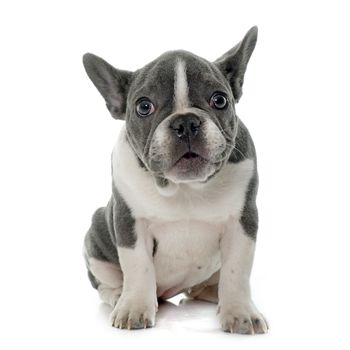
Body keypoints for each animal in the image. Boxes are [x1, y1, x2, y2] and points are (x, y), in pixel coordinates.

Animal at [82, 26, 268, 334]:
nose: (186, 122)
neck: (185, 188)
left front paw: (240, 312)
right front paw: (134, 308)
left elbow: (236, 270)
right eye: (144, 106)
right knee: (105, 284)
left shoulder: (242, 221)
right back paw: (120, 296)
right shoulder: (129, 221)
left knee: (204, 286)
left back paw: (211, 293)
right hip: (96, 234)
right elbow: (138, 266)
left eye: (220, 99)